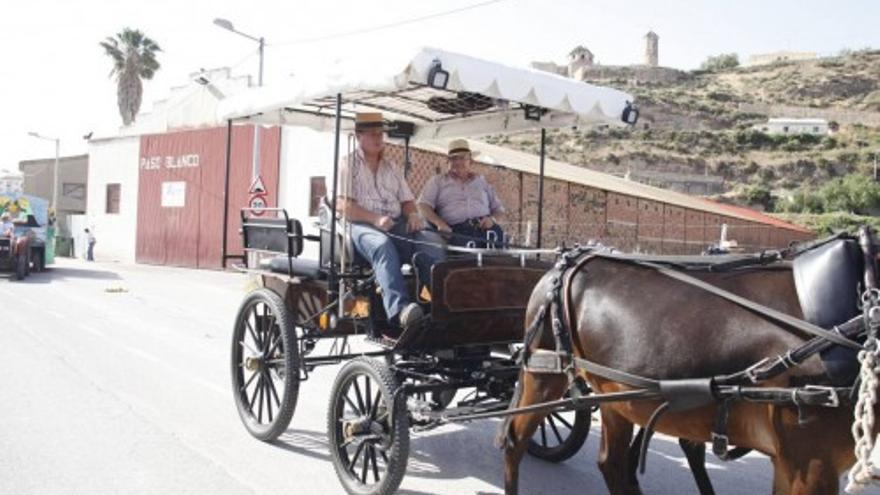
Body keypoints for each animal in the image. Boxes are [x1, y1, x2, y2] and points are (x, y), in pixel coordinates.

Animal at [502, 258, 872, 494]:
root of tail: (564, 264)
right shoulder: (809, 465)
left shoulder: (795, 464)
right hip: (543, 374)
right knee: (514, 442)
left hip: (615, 396)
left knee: (613, 464)